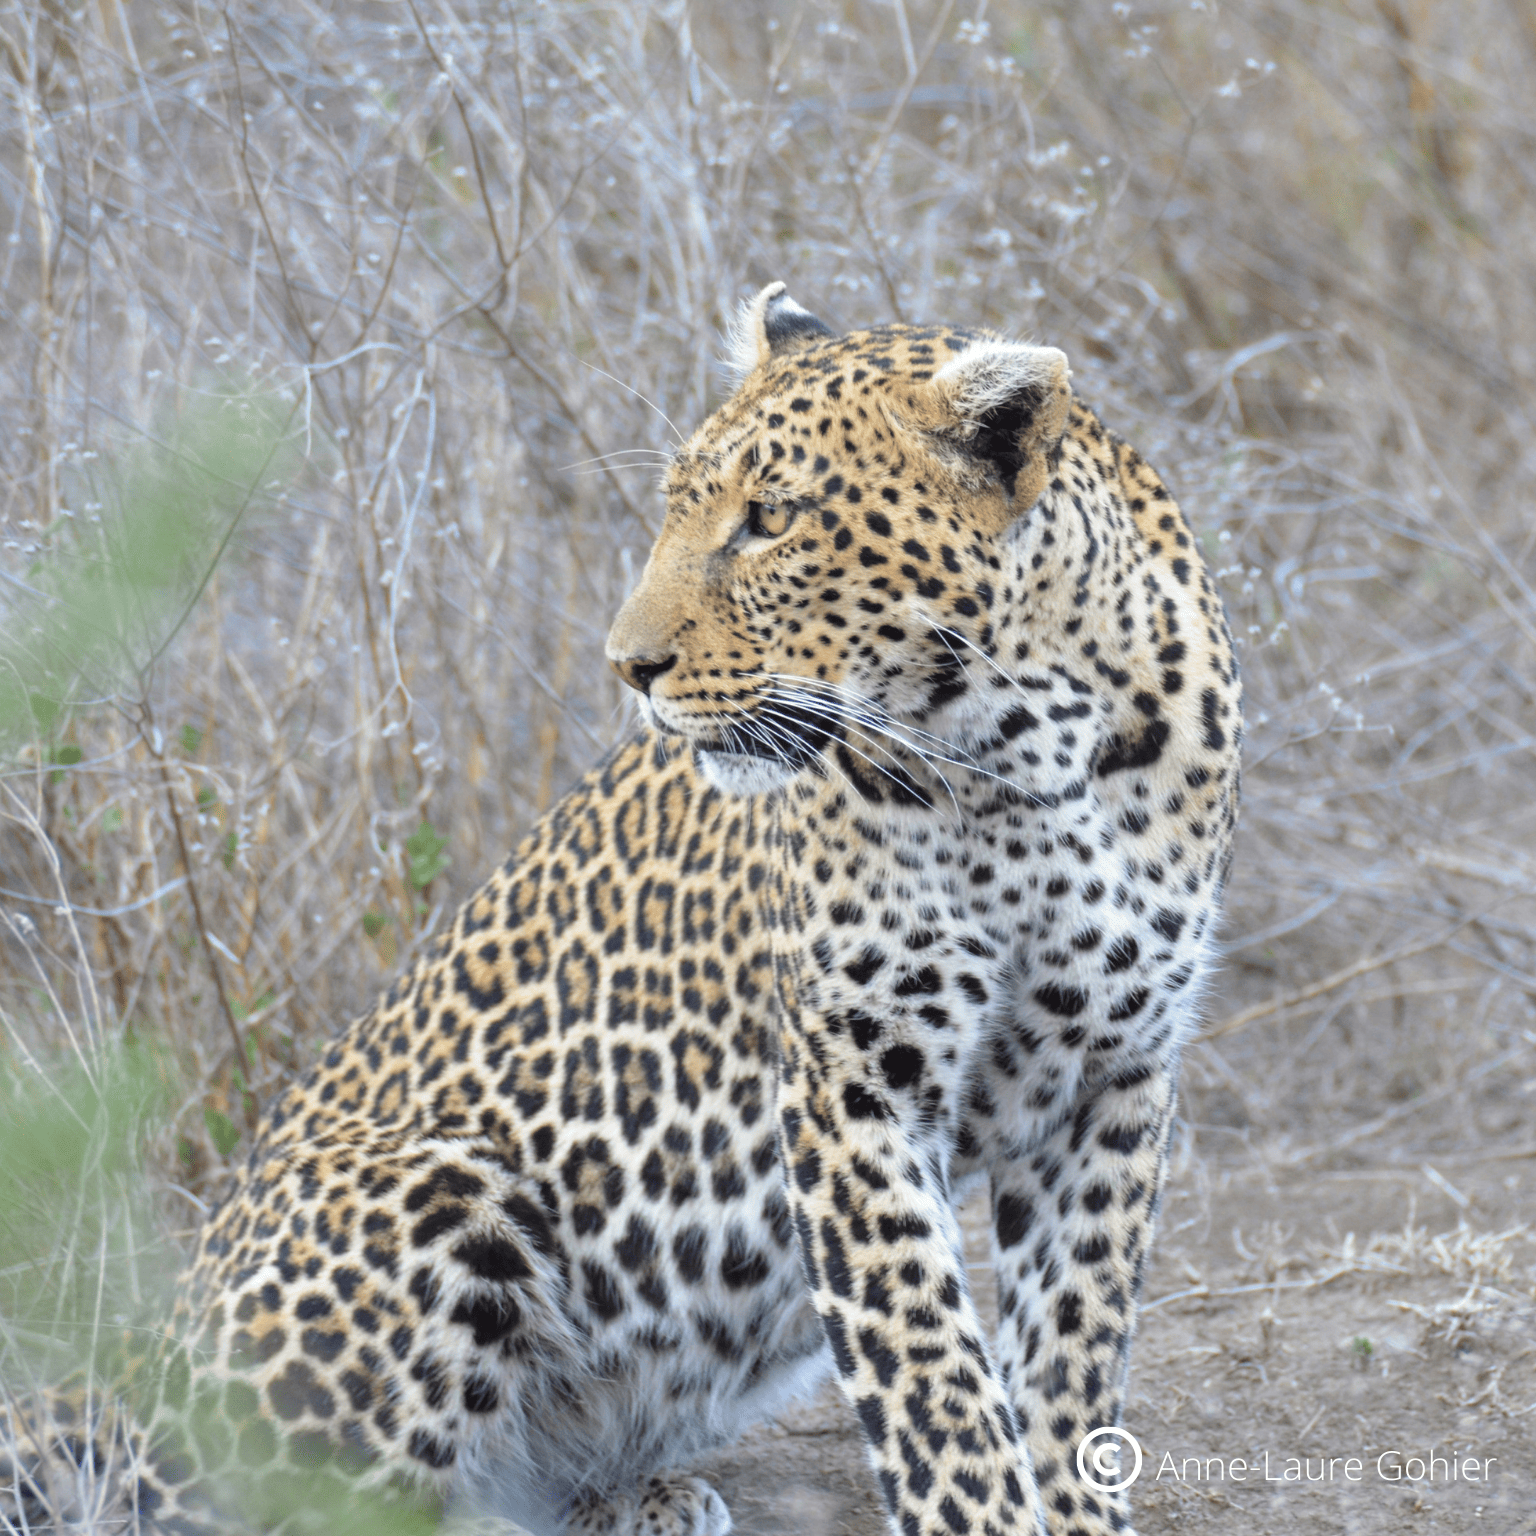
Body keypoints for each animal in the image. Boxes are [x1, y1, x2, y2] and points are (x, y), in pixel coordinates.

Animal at [3, 285, 1234, 1536]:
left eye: (771, 520)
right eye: (680, 509)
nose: (627, 666)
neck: (1030, 756)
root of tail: (134, 1369)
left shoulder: (1113, 1078)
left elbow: (1070, 1355)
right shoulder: (853, 1083)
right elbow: (931, 1372)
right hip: (440, 1198)